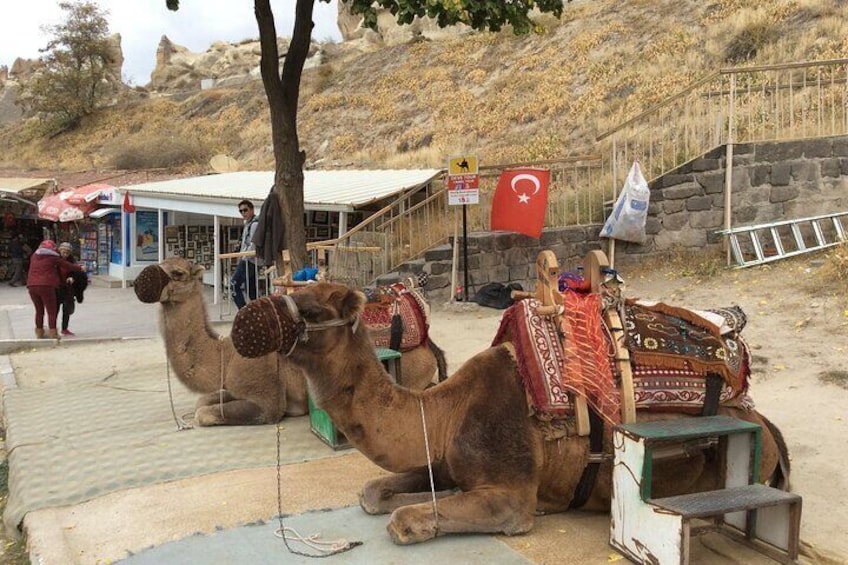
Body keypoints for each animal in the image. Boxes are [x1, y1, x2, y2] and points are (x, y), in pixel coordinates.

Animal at [132, 258, 448, 426]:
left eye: (177, 273)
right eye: (160, 263)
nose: (139, 282)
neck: (226, 355)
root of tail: (426, 342)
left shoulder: (267, 403)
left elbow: (205, 413)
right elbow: (203, 400)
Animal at [230, 284, 788, 544]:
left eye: (314, 310)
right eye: (294, 293)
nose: (246, 320)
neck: (445, 409)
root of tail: (767, 427)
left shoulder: (512, 496)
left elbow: (403, 517)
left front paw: (415, 518)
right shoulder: (445, 458)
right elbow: (374, 492)